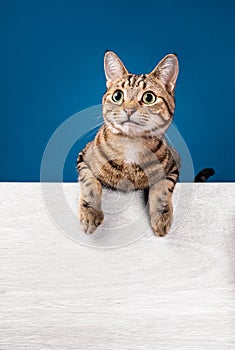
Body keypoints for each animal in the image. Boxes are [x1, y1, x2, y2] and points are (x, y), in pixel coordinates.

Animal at [77, 50, 182, 237]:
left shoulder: (174, 166)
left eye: (149, 98)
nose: (128, 109)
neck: (131, 144)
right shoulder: (83, 157)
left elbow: (162, 187)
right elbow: (90, 182)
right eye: (117, 96)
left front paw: (161, 217)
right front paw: (90, 213)